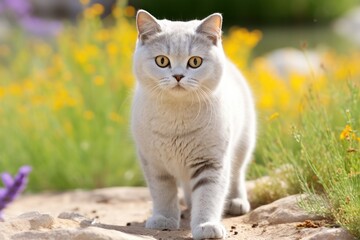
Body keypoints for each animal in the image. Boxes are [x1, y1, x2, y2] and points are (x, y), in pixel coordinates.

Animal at [131, 9, 256, 240]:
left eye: (195, 62)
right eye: (162, 61)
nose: (178, 76)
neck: (176, 117)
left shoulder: (211, 162)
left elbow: (208, 197)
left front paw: (207, 226)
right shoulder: (153, 163)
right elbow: (163, 193)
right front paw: (164, 219)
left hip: (243, 144)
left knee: (237, 175)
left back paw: (236, 202)